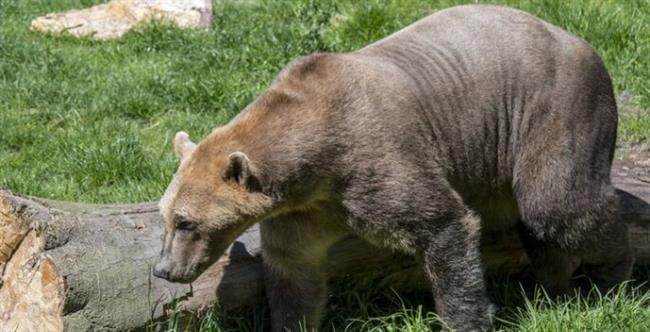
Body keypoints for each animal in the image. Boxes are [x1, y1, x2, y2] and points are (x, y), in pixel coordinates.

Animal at [151, 3, 628, 330]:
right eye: (166, 217)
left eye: (188, 222)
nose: (164, 270)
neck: (315, 162)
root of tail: (580, 41)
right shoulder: (303, 211)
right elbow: (295, 274)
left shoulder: (374, 163)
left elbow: (444, 225)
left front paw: (466, 317)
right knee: (539, 226)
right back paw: (554, 285)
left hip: (554, 109)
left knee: (558, 206)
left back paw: (613, 277)